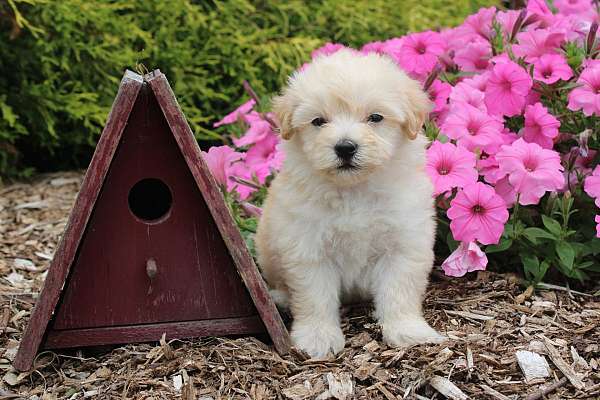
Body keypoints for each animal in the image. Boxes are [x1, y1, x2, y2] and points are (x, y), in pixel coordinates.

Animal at [255, 48, 442, 358]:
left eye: (375, 117)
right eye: (318, 121)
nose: (345, 147)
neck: (354, 190)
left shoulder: (404, 243)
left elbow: (400, 290)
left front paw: (407, 330)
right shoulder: (308, 249)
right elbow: (314, 298)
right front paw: (317, 338)